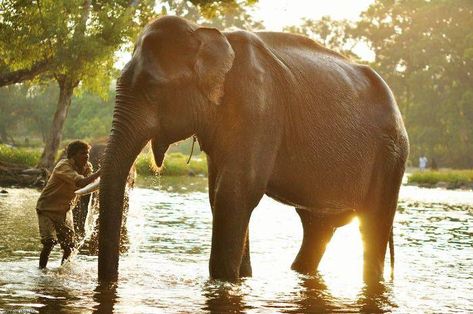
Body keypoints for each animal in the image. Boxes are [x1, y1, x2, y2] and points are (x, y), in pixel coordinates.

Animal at [97, 15, 410, 284]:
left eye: (152, 89)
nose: (113, 281)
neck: (207, 33)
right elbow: (218, 194)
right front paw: (243, 278)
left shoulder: (257, 106)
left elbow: (235, 192)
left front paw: (225, 279)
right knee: (318, 229)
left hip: (391, 156)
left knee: (373, 224)